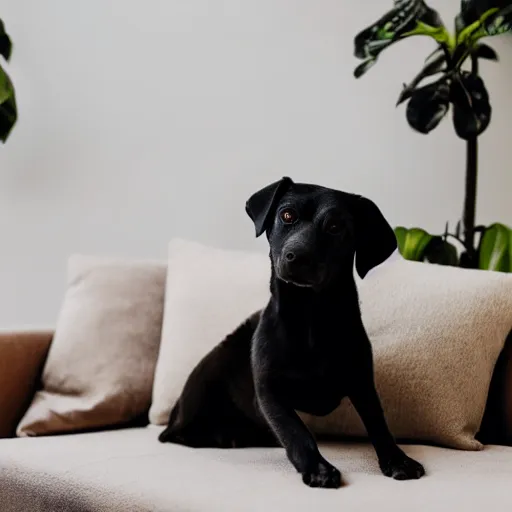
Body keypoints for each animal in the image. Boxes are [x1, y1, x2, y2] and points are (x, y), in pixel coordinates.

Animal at [159, 177, 424, 488]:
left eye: (336, 226)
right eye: (286, 215)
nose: (297, 257)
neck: (308, 318)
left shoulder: (362, 382)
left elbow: (378, 422)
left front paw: (397, 459)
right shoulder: (267, 391)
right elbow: (295, 430)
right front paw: (318, 467)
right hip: (213, 365)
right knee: (176, 433)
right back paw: (228, 435)